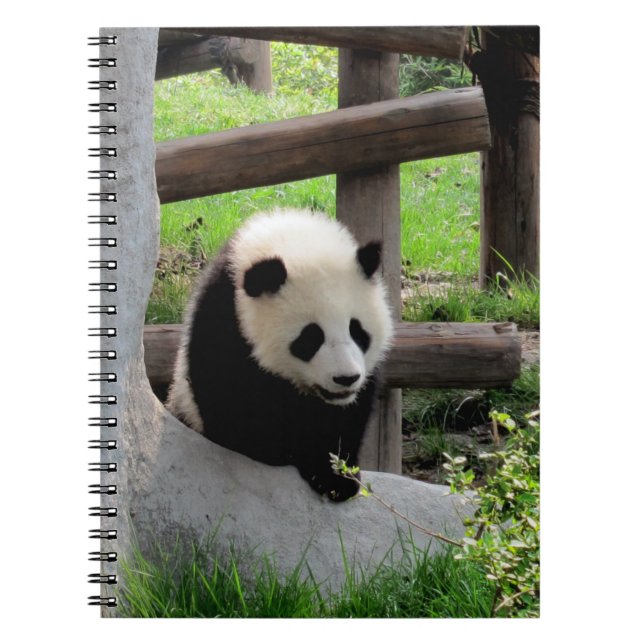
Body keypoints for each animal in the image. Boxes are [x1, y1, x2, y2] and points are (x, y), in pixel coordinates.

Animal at [166, 209, 393, 502]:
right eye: (310, 338)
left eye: (357, 331)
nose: (345, 378)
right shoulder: (225, 320)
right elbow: (233, 406)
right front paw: (286, 453)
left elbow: (348, 415)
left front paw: (336, 477)